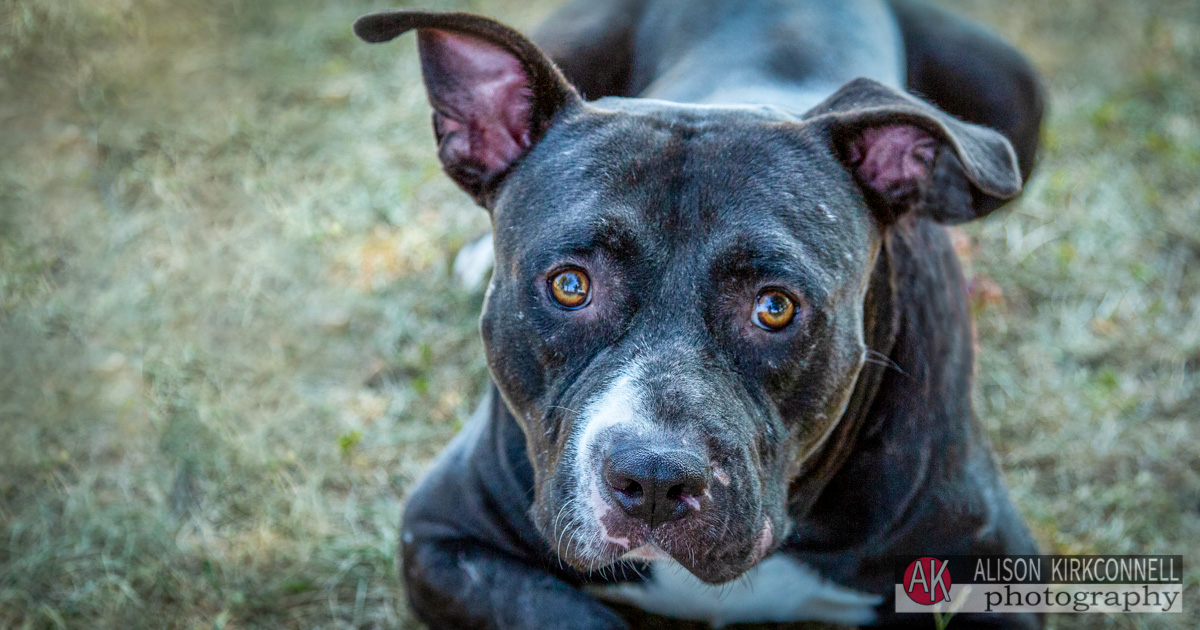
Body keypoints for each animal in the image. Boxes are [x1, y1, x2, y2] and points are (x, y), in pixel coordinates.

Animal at [352, 2, 1041, 624]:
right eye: (570, 285)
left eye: (775, 306)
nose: (654, 478)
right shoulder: (441, 536)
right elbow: (567, 615)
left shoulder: (996, 580)